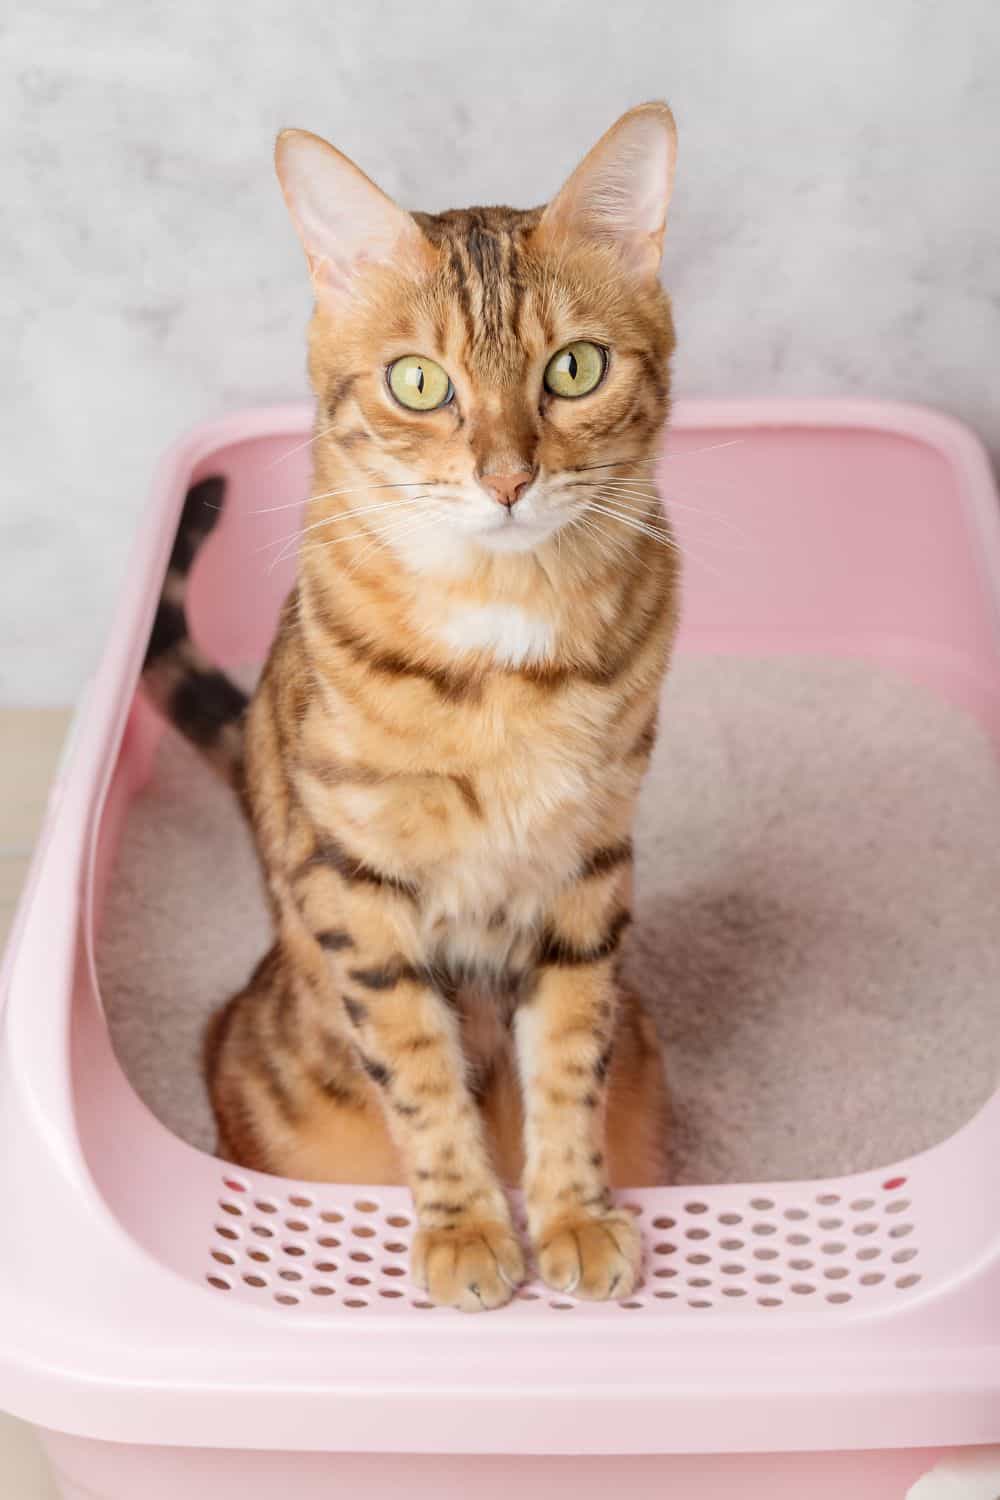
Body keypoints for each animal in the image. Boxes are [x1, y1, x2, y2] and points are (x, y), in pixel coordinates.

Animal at [142, 99, 680, 1308]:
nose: (508, 477)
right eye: (421, 384)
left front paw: (572, 1214)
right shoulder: (357, 883)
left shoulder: (590, 863)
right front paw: (468, 1228)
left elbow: (567, 1058)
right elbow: (420, 1068)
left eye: (575, 368)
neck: (504, 643)